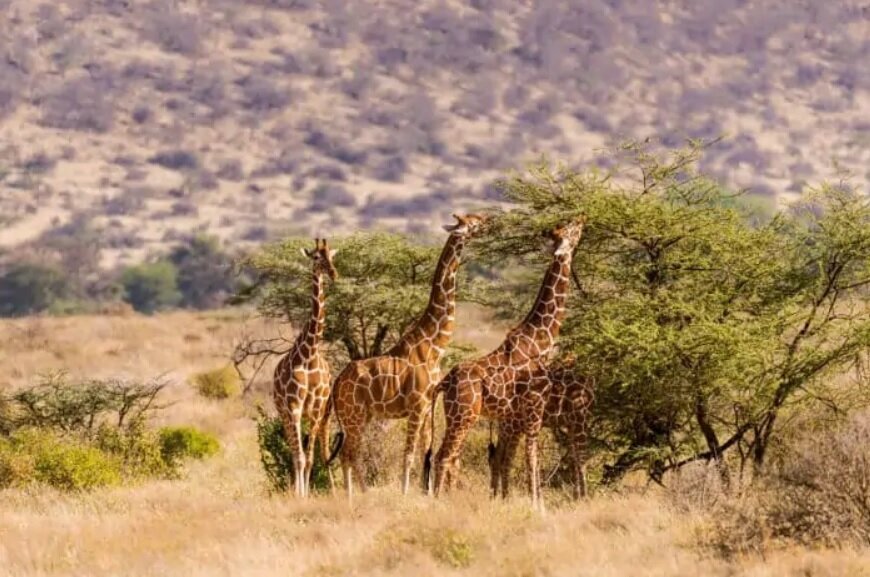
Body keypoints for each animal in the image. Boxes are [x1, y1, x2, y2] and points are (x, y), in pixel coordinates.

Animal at [332, 214, 488, 498]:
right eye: (472, 222)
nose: (488, 219)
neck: (435, 346)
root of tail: (336, 383)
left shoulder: (428, 407)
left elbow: (426, 452)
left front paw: (426, 492)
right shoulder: (416, 406)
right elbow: (410, 454)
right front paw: (406, 493)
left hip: (359, 416)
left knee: (349, 453)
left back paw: (360, 493)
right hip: (354, 415)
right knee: (348, 453)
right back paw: (353, 495)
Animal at [430, 217, 584, 508]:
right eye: (570, 230)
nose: (583, 218)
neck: (540, 340)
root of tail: (444, 382)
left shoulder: (516, 416)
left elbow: (510, 459)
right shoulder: (534, 410)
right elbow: (530, 458)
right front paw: (537, 506)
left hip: (458, 416)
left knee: (446, 457)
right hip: (464, 415)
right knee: (443, 456)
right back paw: (439, 502)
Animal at [488, 352, 596, 500]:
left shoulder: (570, 425)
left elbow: (574, 459)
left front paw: (576, 498)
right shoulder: (579, 420)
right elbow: (582, 459)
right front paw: (583, 498)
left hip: (512, 427)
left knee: (500, 458)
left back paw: (499, 497)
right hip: (512, 425)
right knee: (505, 459)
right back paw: (504, 497)